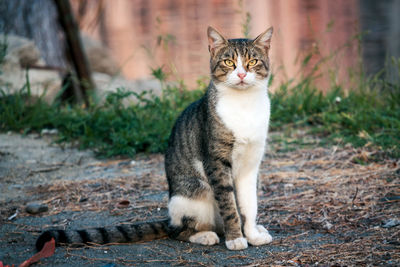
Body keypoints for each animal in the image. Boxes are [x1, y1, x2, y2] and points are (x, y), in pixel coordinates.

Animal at [36, 25, 274, 251]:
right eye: (228, 62)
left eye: (252, 61)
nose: (241, 75)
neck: (244, 105)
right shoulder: (216, 162)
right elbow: (228, 204)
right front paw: (236, 238)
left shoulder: (250, 165)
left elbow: (249, 205)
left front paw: (251, 235)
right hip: (194, 194)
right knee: (179, 230)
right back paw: (205, 235)